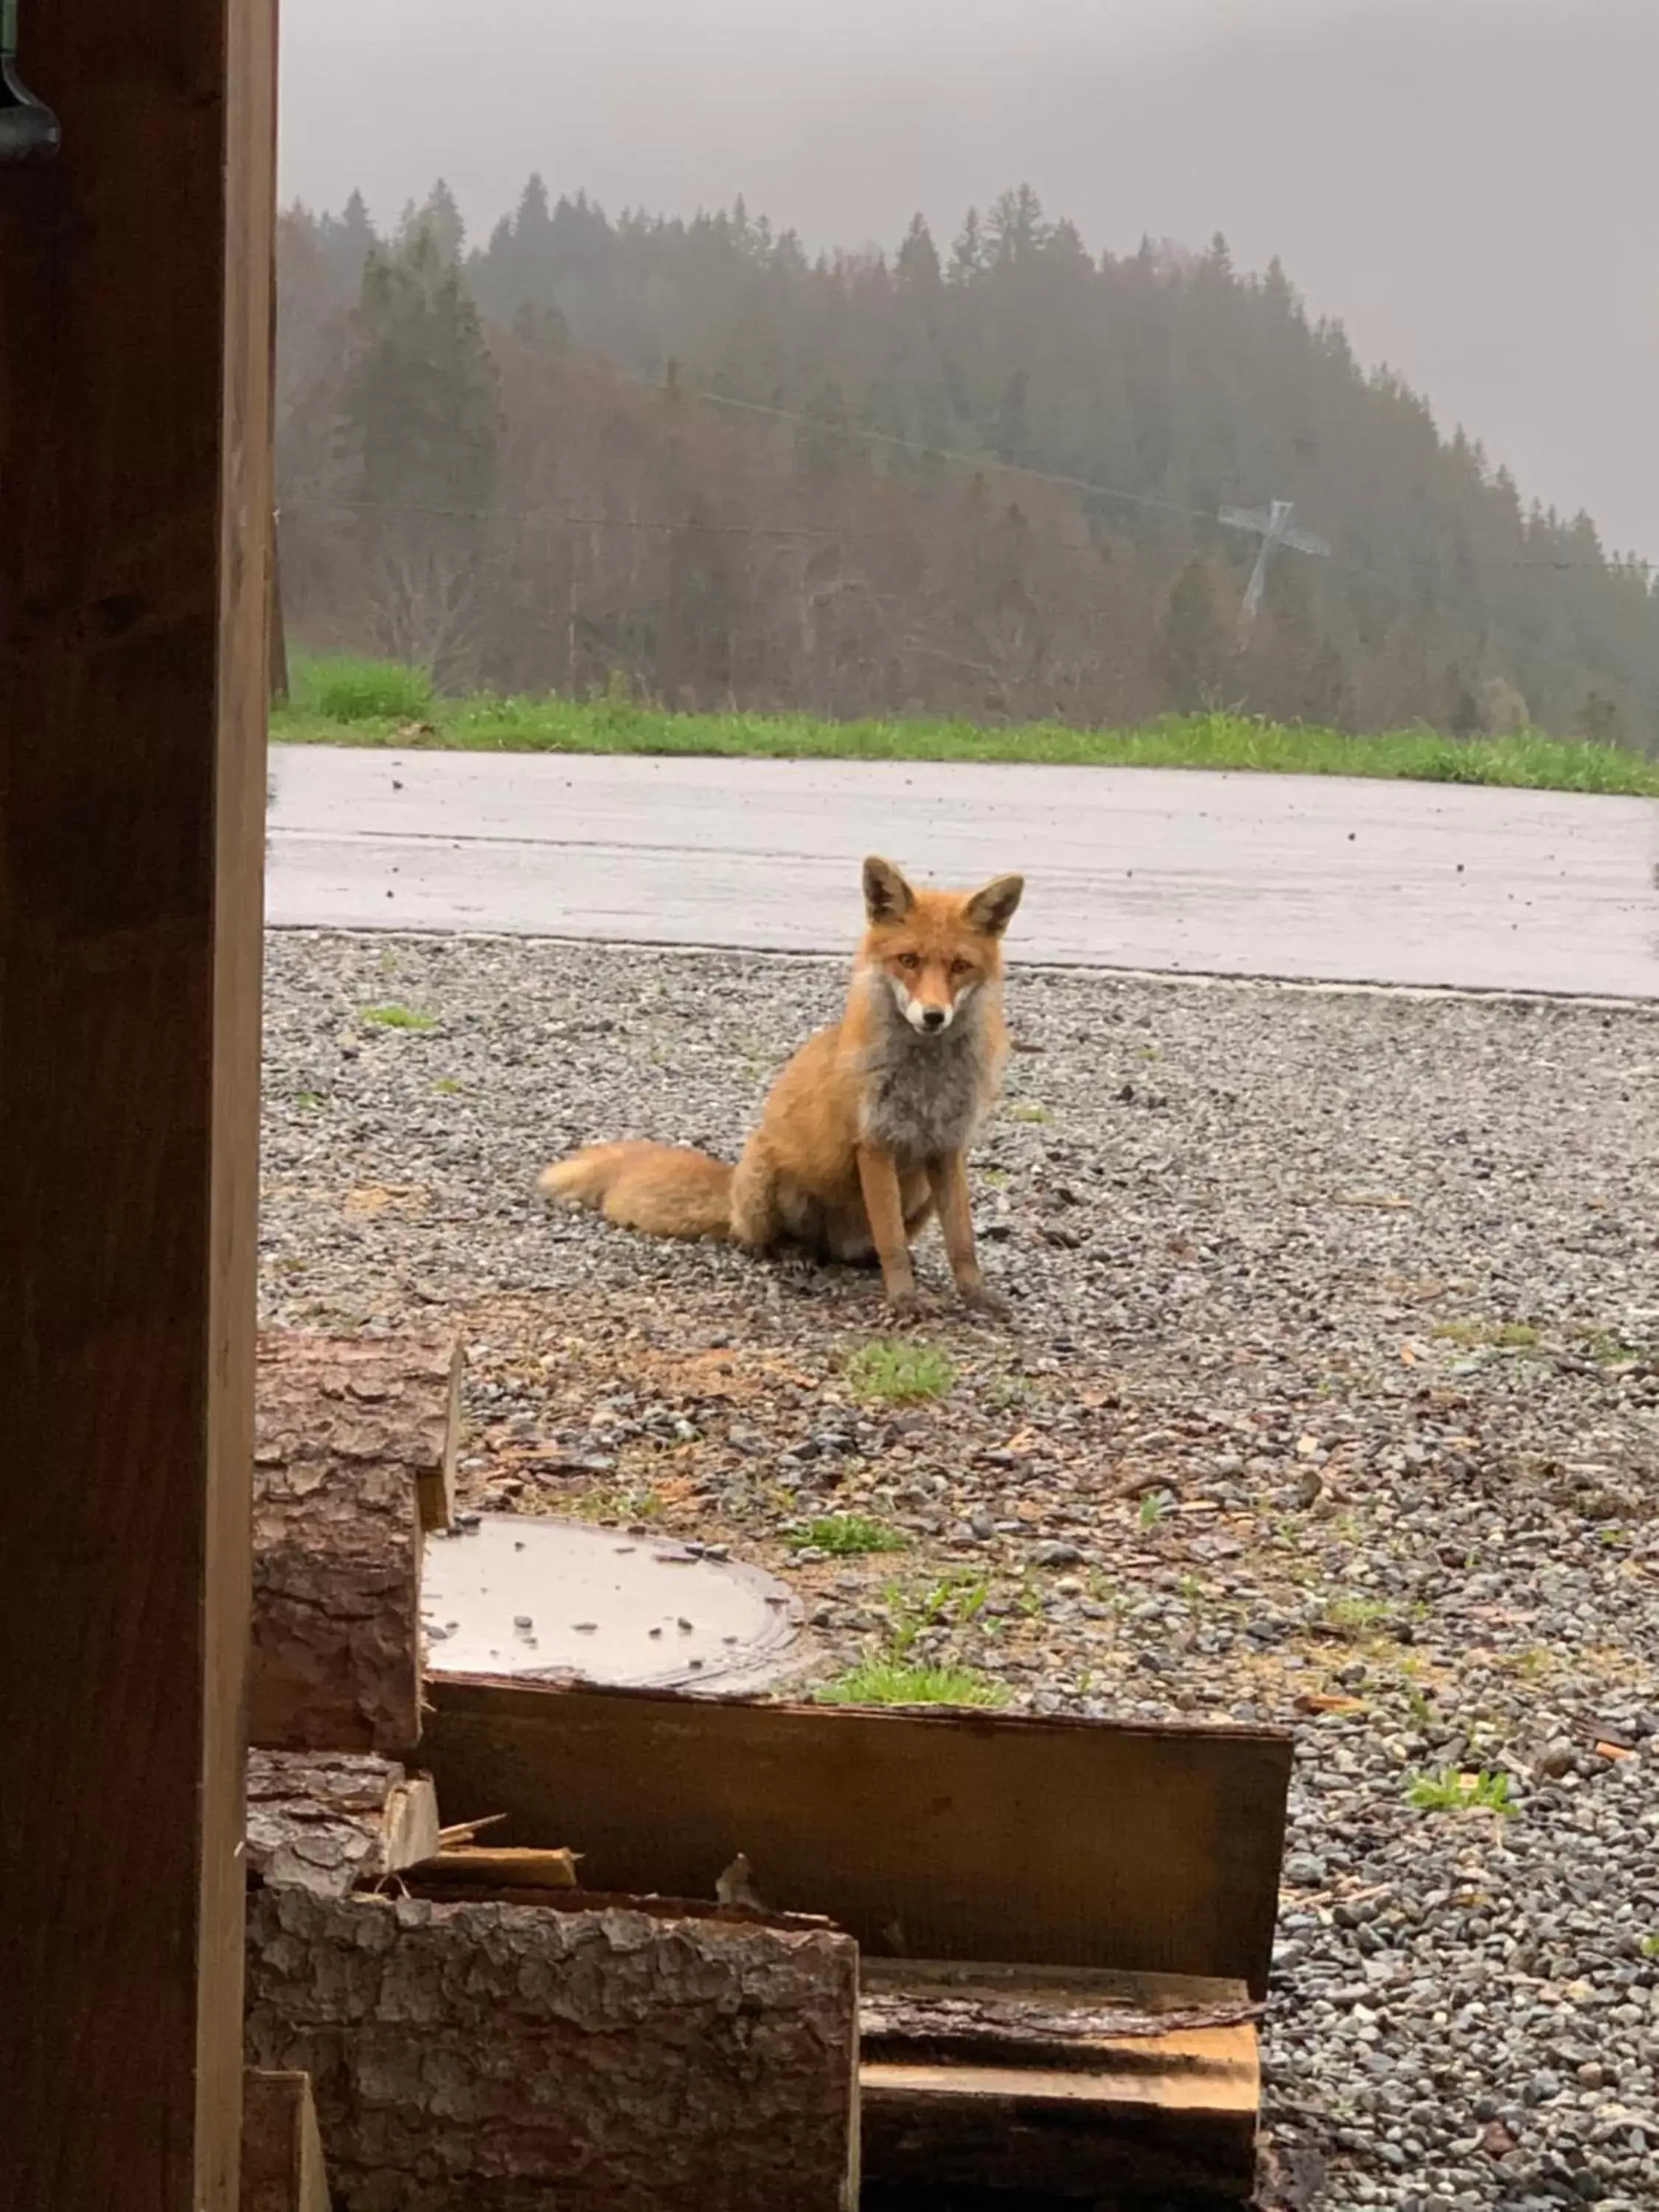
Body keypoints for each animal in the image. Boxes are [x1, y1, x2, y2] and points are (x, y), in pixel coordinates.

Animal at [540, 854, 1022, 1310]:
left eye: (959, 966)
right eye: (909, 961)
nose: (934, 1016)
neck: (927, 1081)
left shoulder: (948, 1147)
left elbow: (962, 1241)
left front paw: (976, 1297)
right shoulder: (874, 1143)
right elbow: (891, 1241)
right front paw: (905, 1302)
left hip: (918, 1194)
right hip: (768, 1173)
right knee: (753, 1240)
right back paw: (790, 1252)